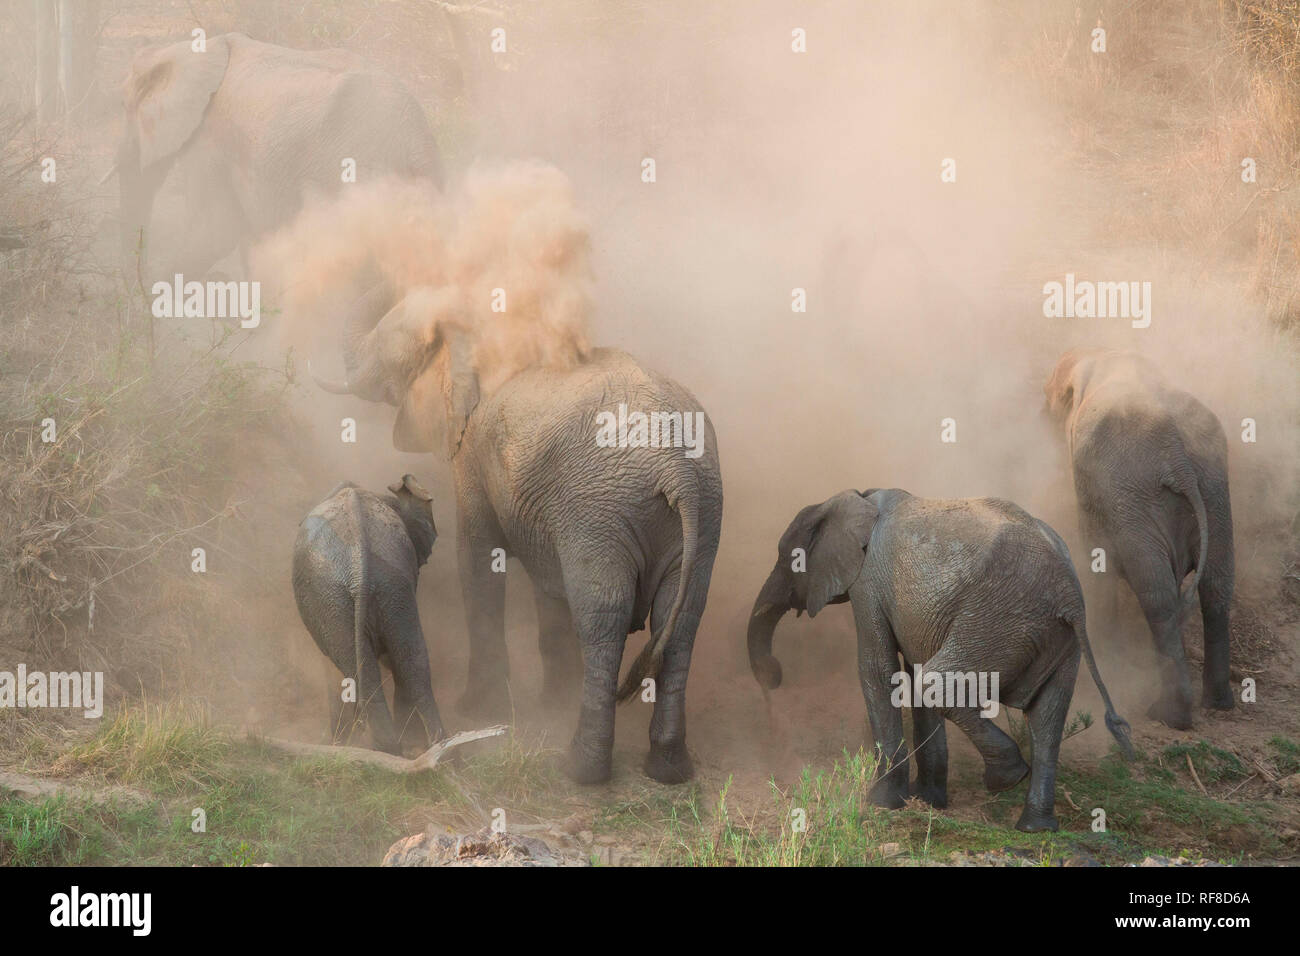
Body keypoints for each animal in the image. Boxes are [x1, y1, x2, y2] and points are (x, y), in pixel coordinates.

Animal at [292, 474, 444, 756]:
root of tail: (358, 568)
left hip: (340, 597)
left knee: (365, 669)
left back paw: (387, 748)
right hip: (378, 590)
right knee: (412, 662)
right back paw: (435, 750)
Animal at [309, 292, 723, 785]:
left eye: (387, 357)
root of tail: (675, 468)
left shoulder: (472, 449)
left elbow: (476, 558)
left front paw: (479, 708)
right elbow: (549, 588)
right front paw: (550, 701)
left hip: (601, 512)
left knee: (603, 614)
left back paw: (580, 769)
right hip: (701, 510)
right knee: (681, 620)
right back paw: (668, 769)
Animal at [747, 488, 1133, 832]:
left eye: (785, 558)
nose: (773, 676)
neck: (855, 498)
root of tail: (1069, 594)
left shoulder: (868, 585)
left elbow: (878, 670)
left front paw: (882, 803)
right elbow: (912, 673)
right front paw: (927, 800)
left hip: (997, 621)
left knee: (938, 683)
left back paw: (1006, 778)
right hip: (1057, 640)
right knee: (1047, 721)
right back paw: (1035, 826)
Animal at [1045, 348, 1235, 729]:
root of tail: (1178, 459)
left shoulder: (1092, 483)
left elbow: (1097, 558)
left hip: (1135, 503)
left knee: (1157, 595)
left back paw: (1170, 716)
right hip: (1214, 490)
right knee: (1216, 587)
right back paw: (1219, 704)